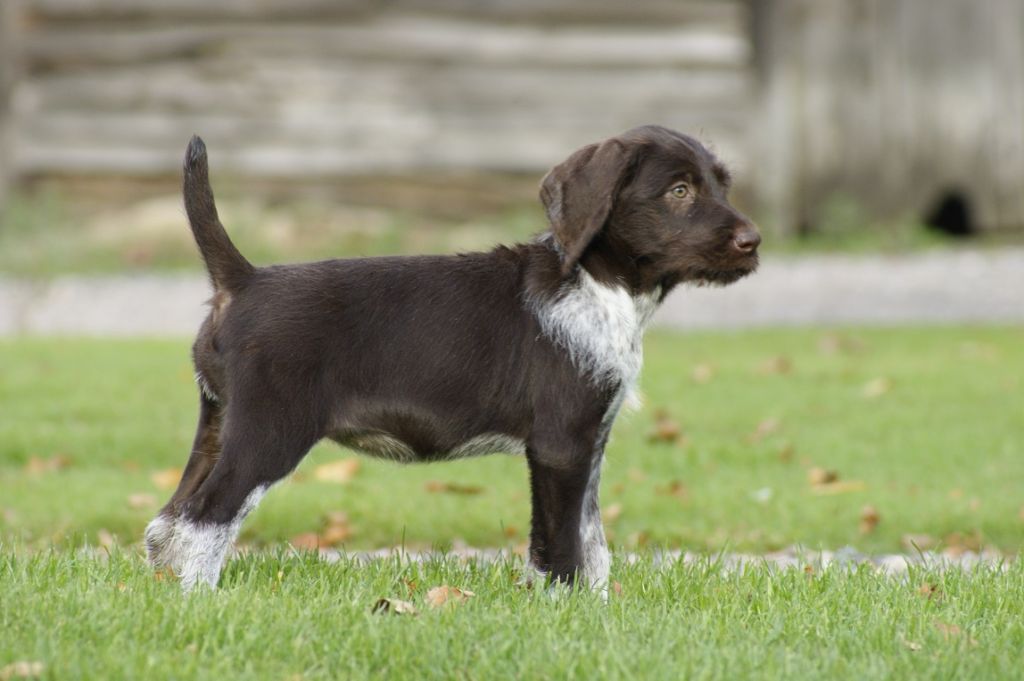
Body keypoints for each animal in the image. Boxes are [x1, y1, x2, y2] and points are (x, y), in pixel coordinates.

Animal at [145, 125, 760, 591]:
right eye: (678, 191)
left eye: (721, 184)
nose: (752, 241)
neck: (594, 282)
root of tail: (243, 280)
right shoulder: (561, 445)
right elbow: (561, 547)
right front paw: (563, 610)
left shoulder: (592, 443)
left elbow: (594, 545)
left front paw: (600, 610)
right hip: (269, 434)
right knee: (205, 520)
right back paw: (201, 601)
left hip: (218, 424)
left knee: (166, 525)